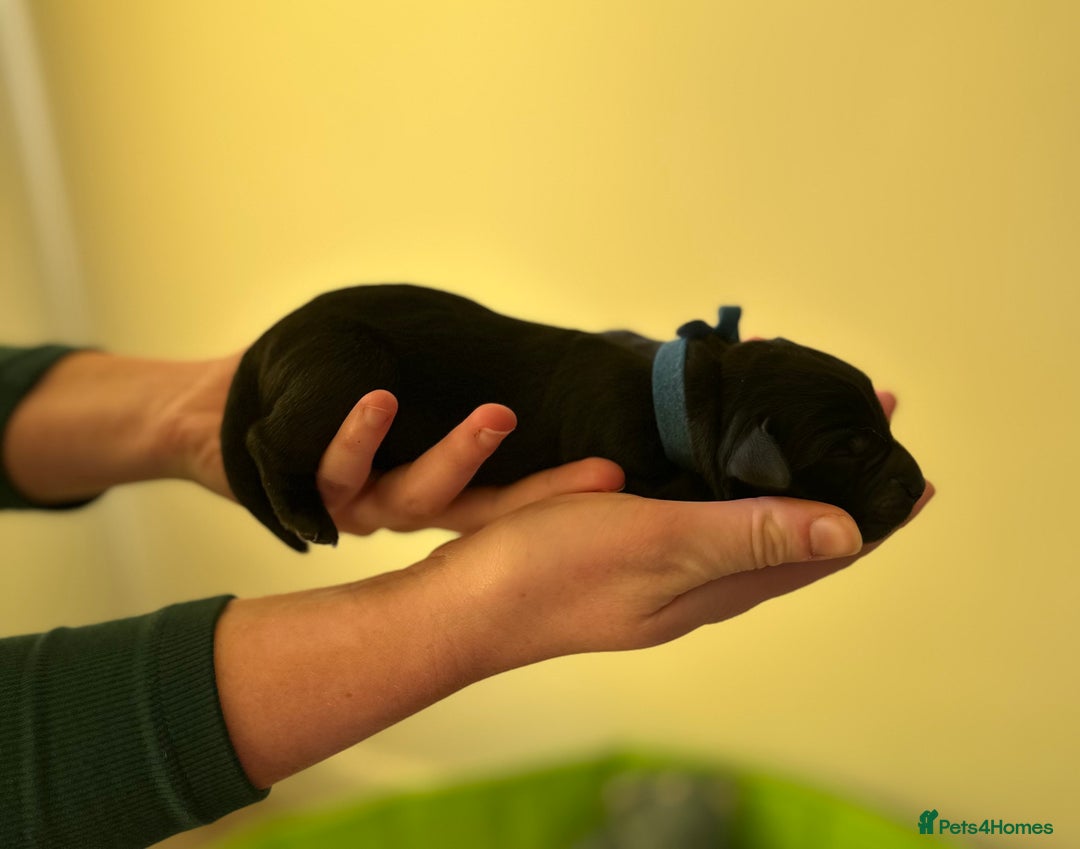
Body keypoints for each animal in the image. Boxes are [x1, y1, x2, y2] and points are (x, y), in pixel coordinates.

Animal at [221, 284, 925, 551]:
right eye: (851, 447)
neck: (684, 394)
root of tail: (264, 341)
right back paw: (307, 515)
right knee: (267, 439)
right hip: (350, 366)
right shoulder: (633, 463)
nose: (919, 486)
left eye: (883, 427)